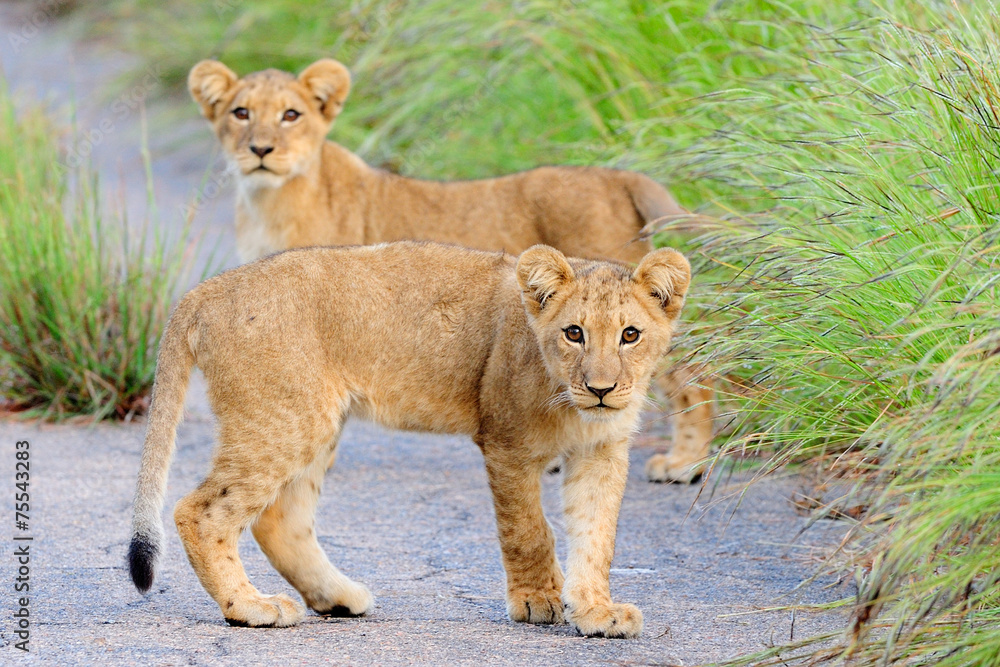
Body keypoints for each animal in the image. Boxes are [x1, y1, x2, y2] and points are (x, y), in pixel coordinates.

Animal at [128, 242, 691, 638]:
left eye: (630, 335)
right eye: (574, 333)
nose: (602, 389)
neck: (573, 407)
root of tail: (206, 291)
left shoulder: (602, 451)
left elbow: (597, 536)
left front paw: (596, 611)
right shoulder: (506, 441)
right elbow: (530, 530)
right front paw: (538, 601)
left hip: (314, 421)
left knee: (278, 518)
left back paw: (337, 598)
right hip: (282, 418)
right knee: (199, 511)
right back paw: (250, 608)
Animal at [188, 58, 714, 482]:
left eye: (291, 115)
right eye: (240, 113)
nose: (260, 150)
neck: (266, 201)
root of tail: (618, 174)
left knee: (694, 369)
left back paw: (685, 463)